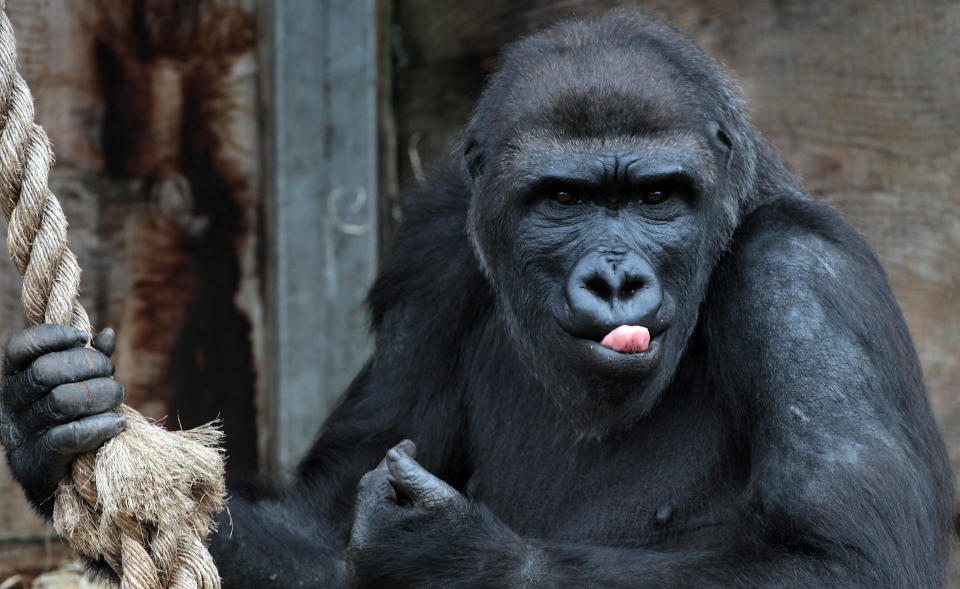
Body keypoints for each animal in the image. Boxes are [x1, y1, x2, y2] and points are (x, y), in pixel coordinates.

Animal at [3, 9, 956, 588]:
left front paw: (457, 552)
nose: (616, 279)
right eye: (563, 199)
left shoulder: (808, 283)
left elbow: (844, 560)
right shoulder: (433, 255)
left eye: (658, 197)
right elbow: (325, 518)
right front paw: (47, 423)